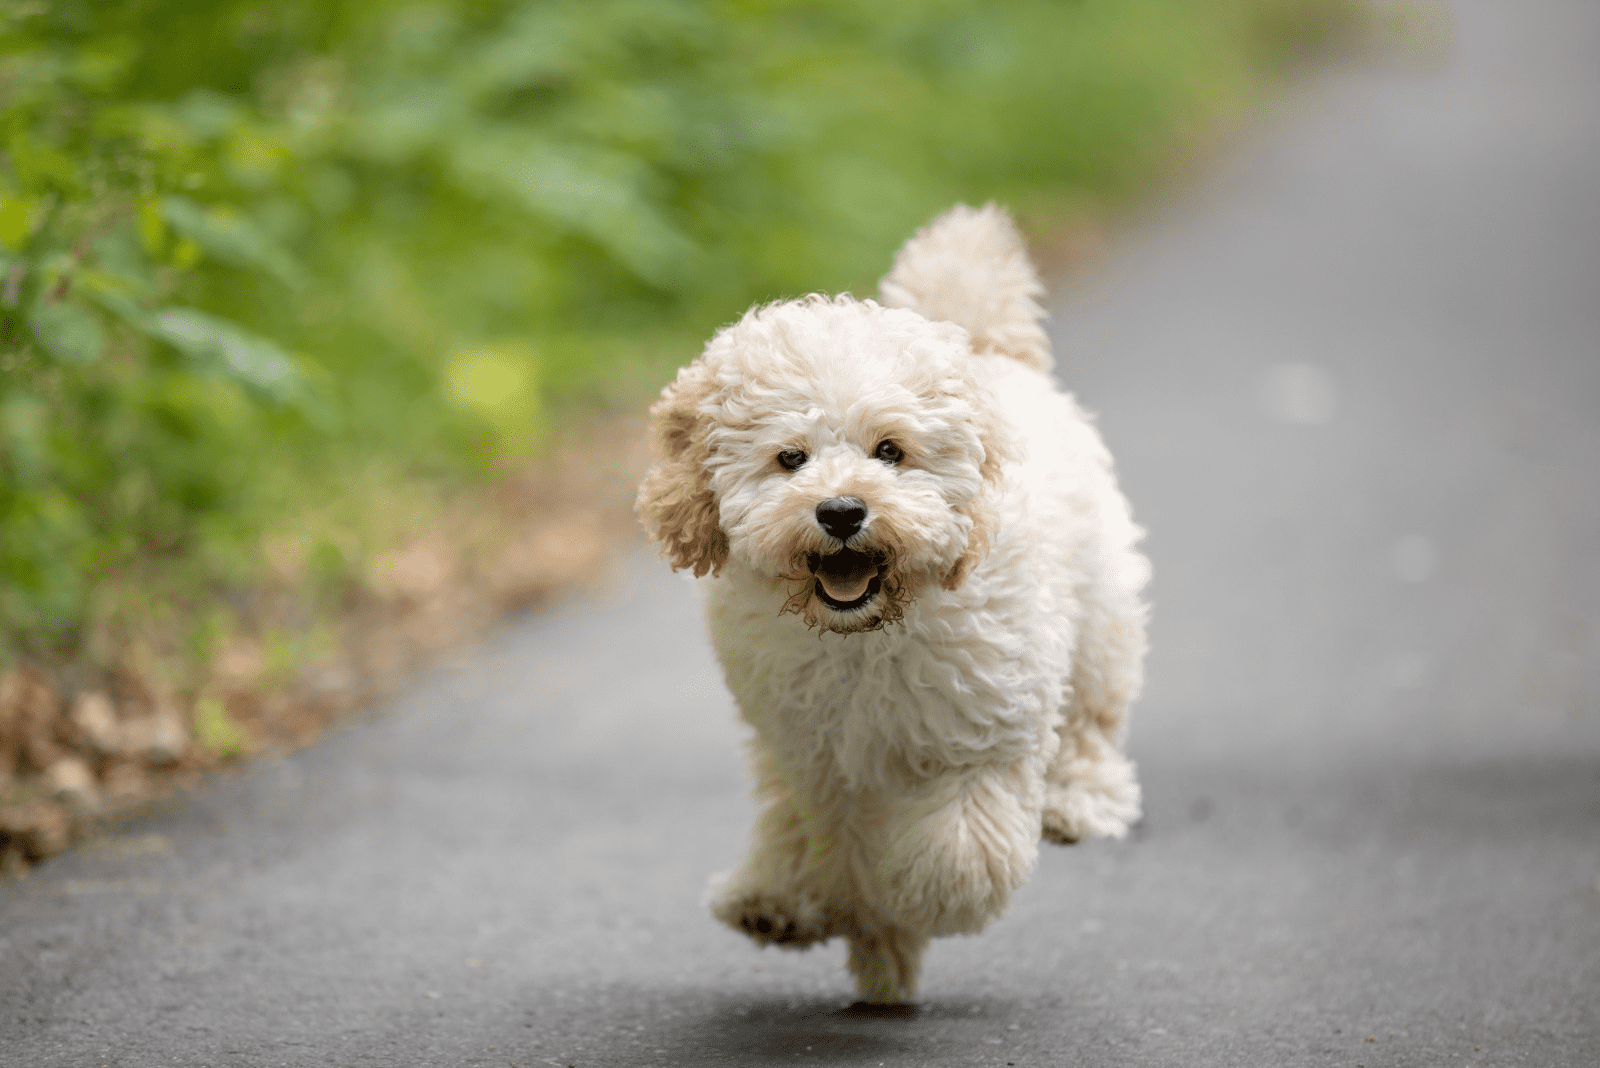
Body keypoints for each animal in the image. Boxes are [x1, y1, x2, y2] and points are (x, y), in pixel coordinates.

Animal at [636, 204, 1152, 1004]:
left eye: (890, 451)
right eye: (790, 458)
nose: (842, 511)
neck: (866, 635)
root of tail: (983, 349)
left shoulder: (981, 735)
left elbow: (958, 855)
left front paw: (914, 904)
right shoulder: (818, 757)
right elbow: (827, 841)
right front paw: (846, 925)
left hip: (1098, 613)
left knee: (1091, 719)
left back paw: (1077, 802)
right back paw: (785, 906)